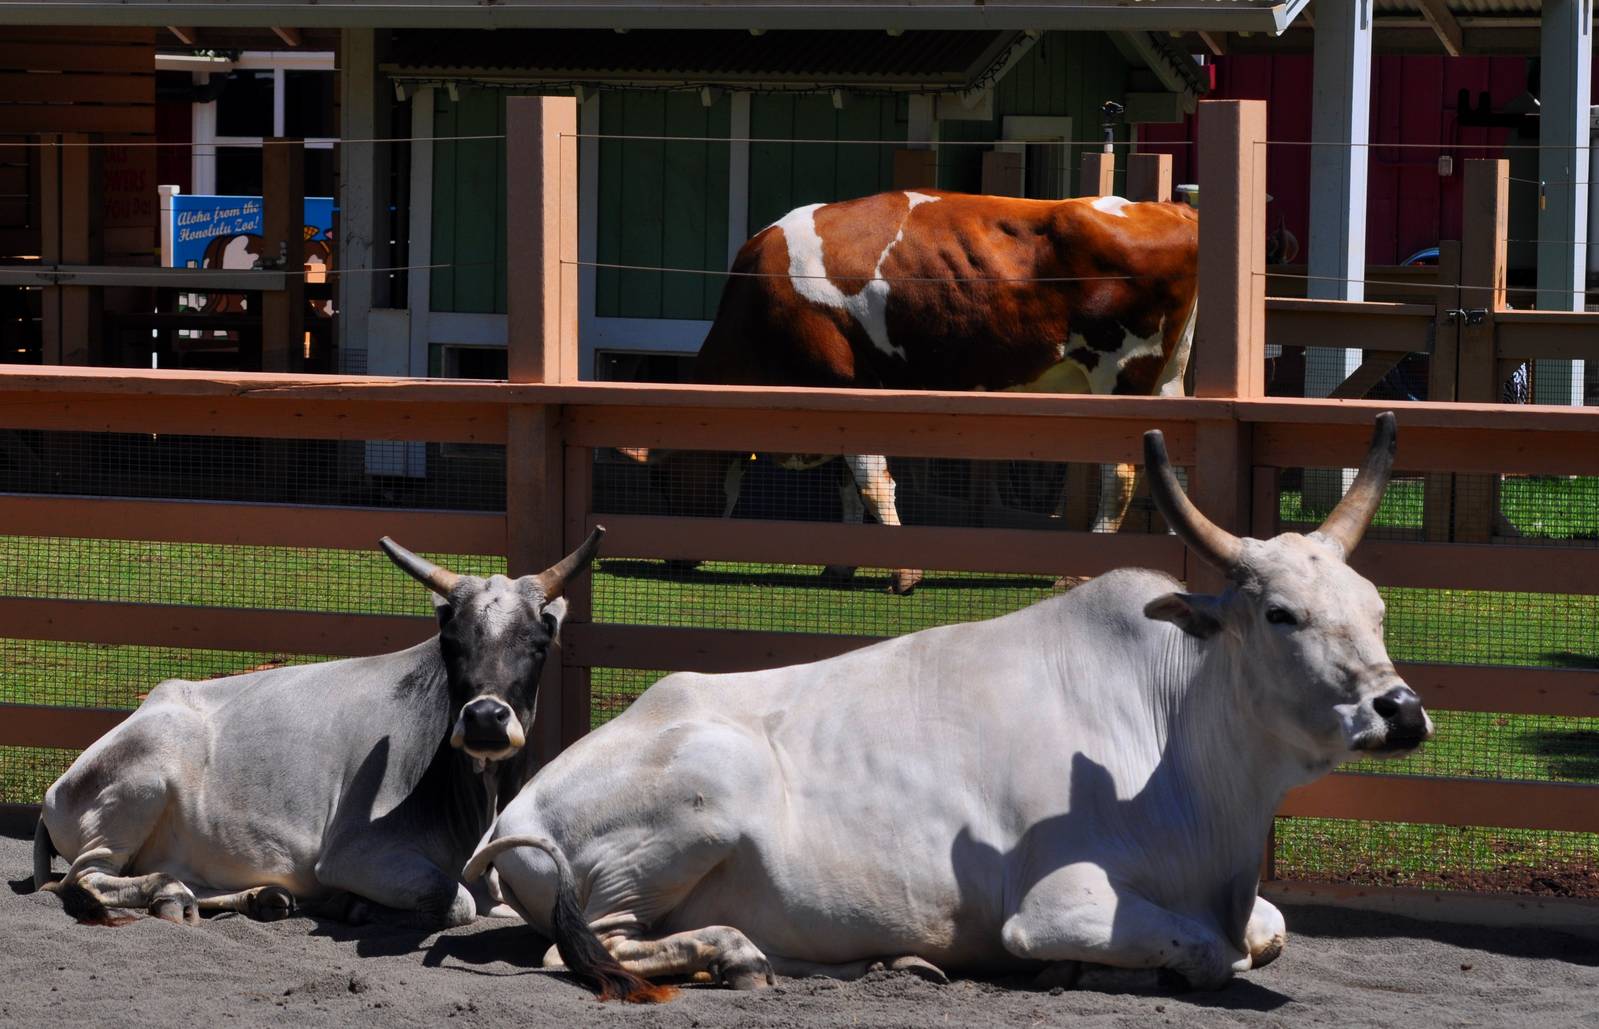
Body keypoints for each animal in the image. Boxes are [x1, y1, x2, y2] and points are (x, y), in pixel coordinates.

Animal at [31, 529, 606, 933]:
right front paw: (355, 907)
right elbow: (458, 902)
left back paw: (261, 897)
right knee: (86, 878)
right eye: (452, 641)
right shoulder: (353, 853)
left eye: (539, 640)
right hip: (140, 784)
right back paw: (168, 893)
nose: (486, 718)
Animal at [467, 413, 1429, 999]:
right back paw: (735, 953)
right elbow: (1210, 950)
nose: (1402, 710)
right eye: (1279, 613)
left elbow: (1266, 930)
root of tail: (518, 807)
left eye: (1376, 606)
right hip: (698, 795)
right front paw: (1089, 974)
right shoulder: (1053, 905)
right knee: (584, 943)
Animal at [623, 189, 1199, 594]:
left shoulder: (845, 385)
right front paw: (841, 563)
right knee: (1177, 465)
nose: (674, 561)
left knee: (1120, 474)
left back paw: (1083, 572)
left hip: (1120, 374)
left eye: (663, 481)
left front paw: (903, 571)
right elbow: (845, 485)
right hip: (1167, 380)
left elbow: (871, 479)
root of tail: (1166, 209)